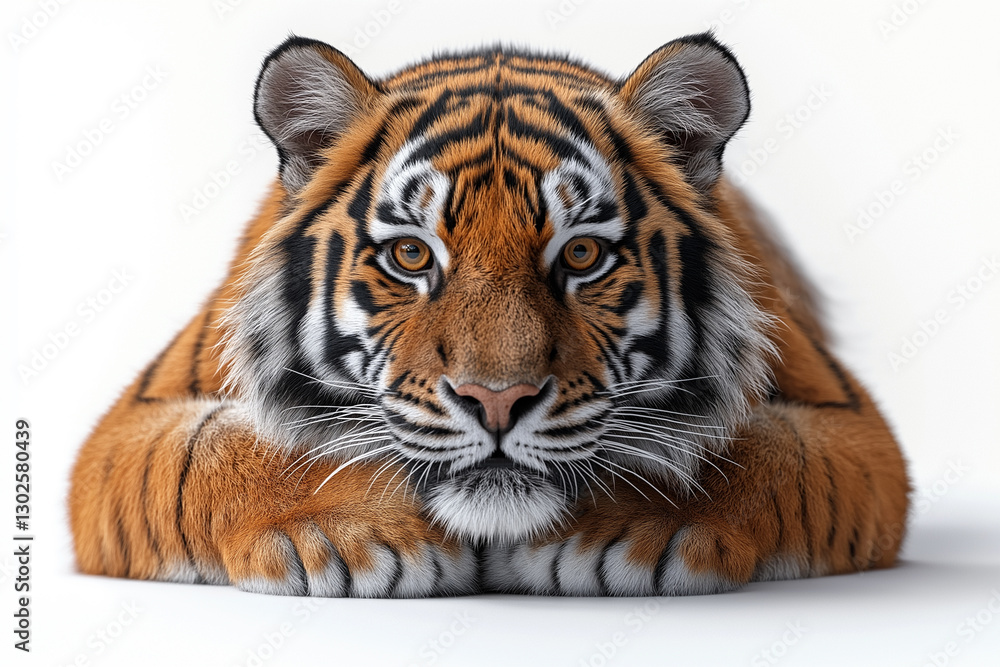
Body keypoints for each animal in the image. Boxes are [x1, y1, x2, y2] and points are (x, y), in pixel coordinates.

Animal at [69, 33, 910, 597]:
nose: (496, 400)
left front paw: (636, 530)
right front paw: (340, 533)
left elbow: (754, 450)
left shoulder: (845, 420)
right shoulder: (135, 421)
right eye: (411, 256)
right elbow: (222, 449)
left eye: (582, 255)